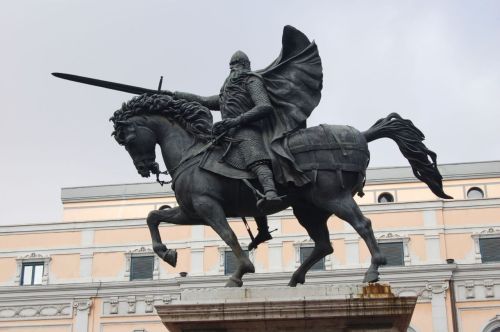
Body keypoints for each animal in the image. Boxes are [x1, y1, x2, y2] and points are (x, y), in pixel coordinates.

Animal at [110, 93, 454, 288]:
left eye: (128, 138)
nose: (144, 168)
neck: (193, 151)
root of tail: (361, 135)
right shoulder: (192, 210)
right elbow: (153, 216)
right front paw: (168, 254)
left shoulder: (207, 206)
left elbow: (228, 235)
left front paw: (241, 271)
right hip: (309, 209)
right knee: (324, 244)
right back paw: (295, 278)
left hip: (332, 197)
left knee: (363, 224)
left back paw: (372, 271)